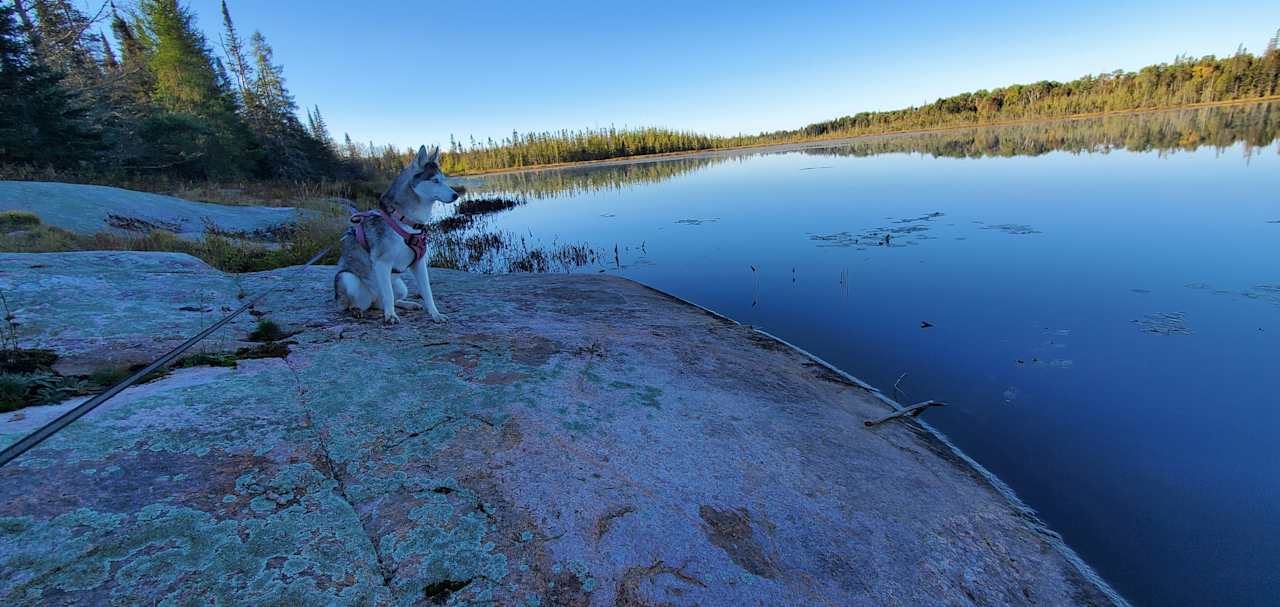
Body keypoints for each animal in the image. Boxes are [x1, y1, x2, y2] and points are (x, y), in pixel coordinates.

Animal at [335, 145, 460, 325]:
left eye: (443, 180)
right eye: (435, 181)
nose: (456, 195)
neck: (406, 221)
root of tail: (373, 299)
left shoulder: (419, 262)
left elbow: (427, 292)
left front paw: (435, 314)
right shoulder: (382, 263)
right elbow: (388, 294)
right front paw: (391, 316)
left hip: (401, 286)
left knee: (390, 300)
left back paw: (408, 304)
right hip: (347, 279)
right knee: (355, 303)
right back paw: (357, 310)